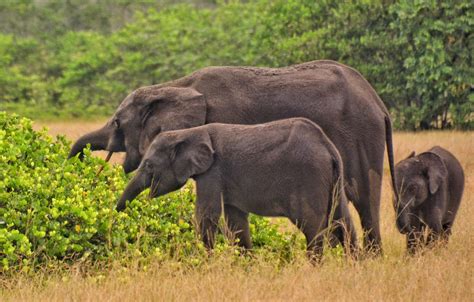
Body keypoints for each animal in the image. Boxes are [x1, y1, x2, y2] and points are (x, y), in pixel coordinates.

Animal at [116, 118, 358, 260]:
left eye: (149, 165)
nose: (117, 216)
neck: (189, 133)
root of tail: (327, 146)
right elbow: (236, 221)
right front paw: (246, 265)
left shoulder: (213, 171)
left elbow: (206, 215)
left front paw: (206, 262)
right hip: (334, 177)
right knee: (343, 220)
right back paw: (353, 265)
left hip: (309, 176)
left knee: (312, 225)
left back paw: (314, 266)